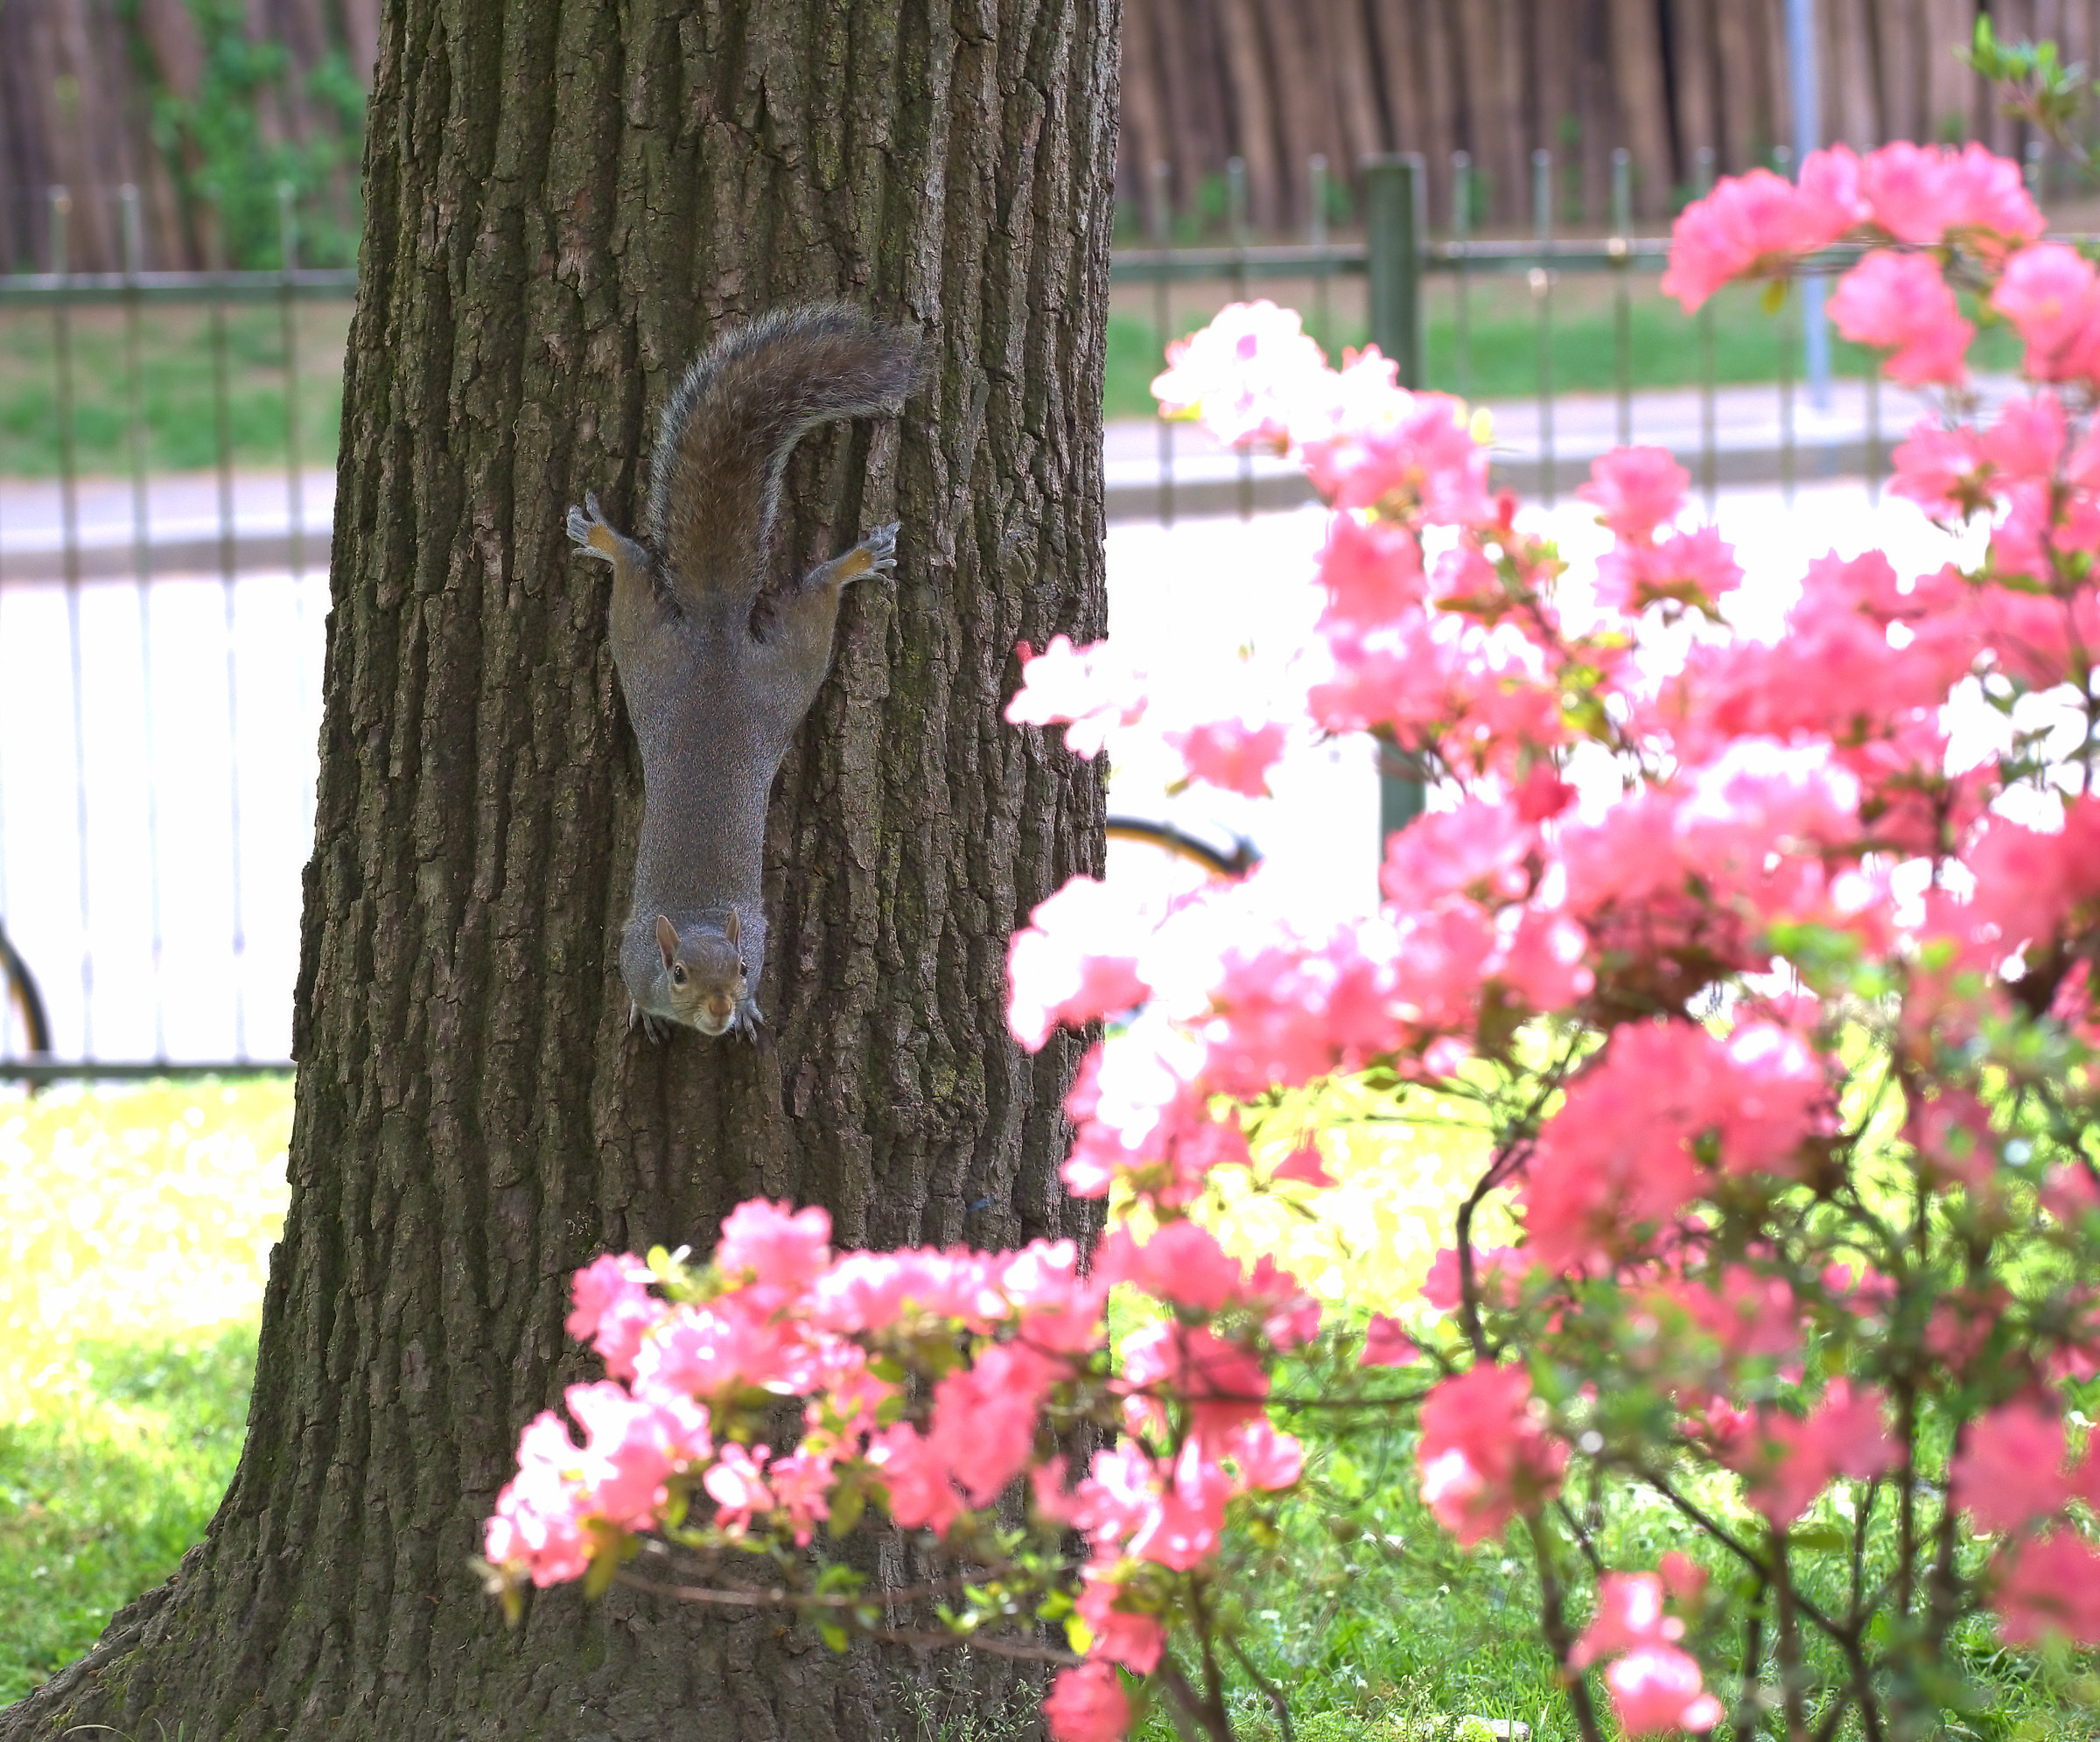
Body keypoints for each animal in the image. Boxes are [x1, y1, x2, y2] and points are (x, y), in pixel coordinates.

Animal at [567, 303, 923, 1042]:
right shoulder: (631, 951)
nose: (723, 1007)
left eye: (744, 968)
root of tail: (715, 633)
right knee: (635, 578)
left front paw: (754, 1013)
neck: (700, 918)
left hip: (764, 676)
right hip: (667, 659)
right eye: (676, 973)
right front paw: (643, 1014)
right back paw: (604, 539)